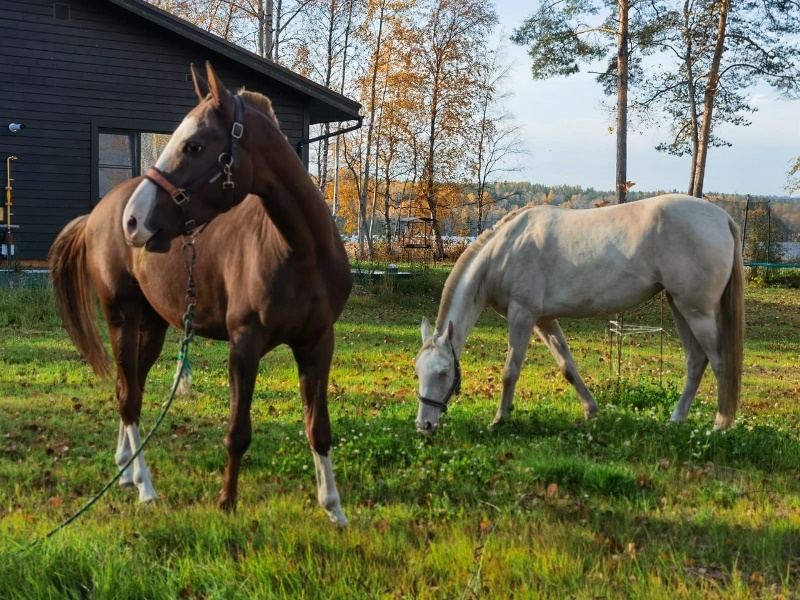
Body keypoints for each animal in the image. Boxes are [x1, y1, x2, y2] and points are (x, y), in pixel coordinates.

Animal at [47, 61, 350, 524]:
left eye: (193, 145)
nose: (134, 221)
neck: (300, 252)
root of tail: (99, 214)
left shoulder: (318, 342)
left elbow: (319, 428)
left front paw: (333, 508)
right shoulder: (245, 343)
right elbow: (238, 431)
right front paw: (227, 502)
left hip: (152, 326)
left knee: (130, 386)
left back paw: (125, 471)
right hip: (121, 316)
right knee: (128, 397)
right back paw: (145, 487)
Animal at [416, 196, 748, 436]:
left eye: (443, 373)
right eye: (418, 372)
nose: (424, 426)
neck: (504, 251)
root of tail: (722, 218)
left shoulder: (523, 314)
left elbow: (510, 370)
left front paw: (499, 419)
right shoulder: (543, 320)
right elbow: (568, 367)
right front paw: (591, 410)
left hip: (697, 312)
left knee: (719, 362)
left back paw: (720, 425)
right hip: (680, 306)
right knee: (696, 361)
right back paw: (676, 419)